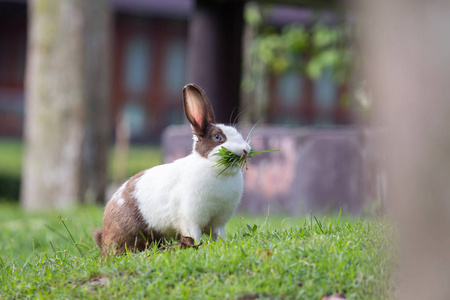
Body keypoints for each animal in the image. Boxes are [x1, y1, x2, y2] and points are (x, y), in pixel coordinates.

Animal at [93, 83, 251, 254]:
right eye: (218, 137)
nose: (246, 149)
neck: (216, 169)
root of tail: (105, 235)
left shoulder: (218, 223)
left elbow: (218, 235)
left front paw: (223, 244)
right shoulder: (190, 219)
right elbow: (194, 234)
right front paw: (197, 246)